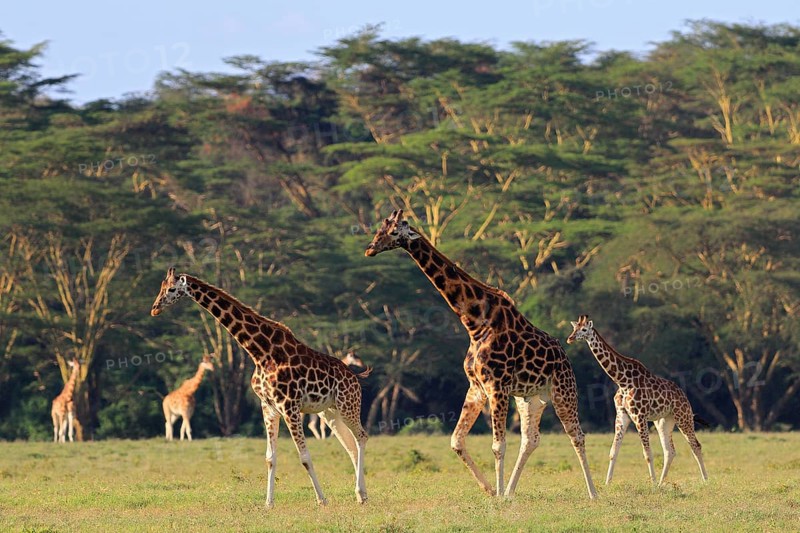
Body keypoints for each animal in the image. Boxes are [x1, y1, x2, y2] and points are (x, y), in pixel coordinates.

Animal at [151, 268, 370, 506]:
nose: (154, 308)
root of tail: (355, 376)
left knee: (361, 437)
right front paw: (268, 504)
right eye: (161, 287)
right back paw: (360, 495)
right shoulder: (269, 407)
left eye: (171, 289)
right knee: (350, 445)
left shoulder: (289, 406)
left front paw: (322, 500)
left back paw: (361, 493)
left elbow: (304, 457)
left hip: (348, 405)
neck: (261, 353)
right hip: (329, 412)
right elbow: (270, 458)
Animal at [365, 210, 597, 499]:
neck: (475, 323)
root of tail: (565, 356)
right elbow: (456, 440)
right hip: (530, 398)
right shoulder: (477, 386)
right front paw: (491, 490)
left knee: (576, 435)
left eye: (395, 232)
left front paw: (497, 495)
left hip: (563, 391)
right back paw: (511, 490)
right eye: (380, 228)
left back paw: (593, 493)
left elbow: (498, 445)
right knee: (530, 439)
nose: (370, 248)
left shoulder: (496, 386)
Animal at [567, 314, 709, 485]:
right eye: (574, 328)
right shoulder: (622, 415)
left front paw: (652, 483)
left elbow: (647, 453)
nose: (570, 338)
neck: (622, 381)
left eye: (584, 329)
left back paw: (705, 480)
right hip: (664, 421)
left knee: (696, 445)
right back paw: (661, 483)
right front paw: (607, 483)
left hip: (683, 417)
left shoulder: (639, 416)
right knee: (670, 451)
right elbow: (613, 451)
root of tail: (684, 396)